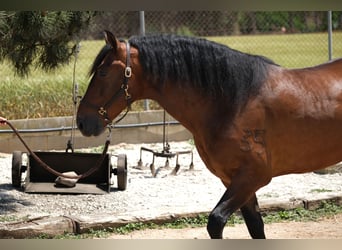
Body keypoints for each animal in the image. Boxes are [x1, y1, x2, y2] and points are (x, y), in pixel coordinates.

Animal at [77, 30, 342, 238]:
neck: (234, 102)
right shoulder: (234, 180)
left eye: (102, 72)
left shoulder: (253, 176)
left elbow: (216, 221)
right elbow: (255, 226)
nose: (82, 121)